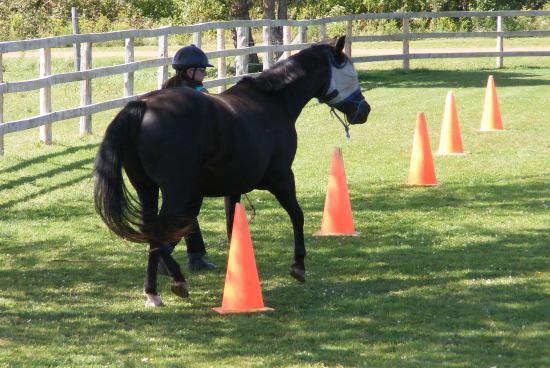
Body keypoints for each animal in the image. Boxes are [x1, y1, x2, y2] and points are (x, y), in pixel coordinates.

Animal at [95, 36, 370, 306]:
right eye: (351, 73)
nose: (364, 110)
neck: (273, 102)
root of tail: (142, 106)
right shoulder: (282, 178)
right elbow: (297, 215)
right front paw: (298, 266)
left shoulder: (234, 188)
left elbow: (232, 227)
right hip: (177, 193)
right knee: (160, 232)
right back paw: (177, 280)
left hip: (148, 189)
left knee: (152, 231)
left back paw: (152, 291)